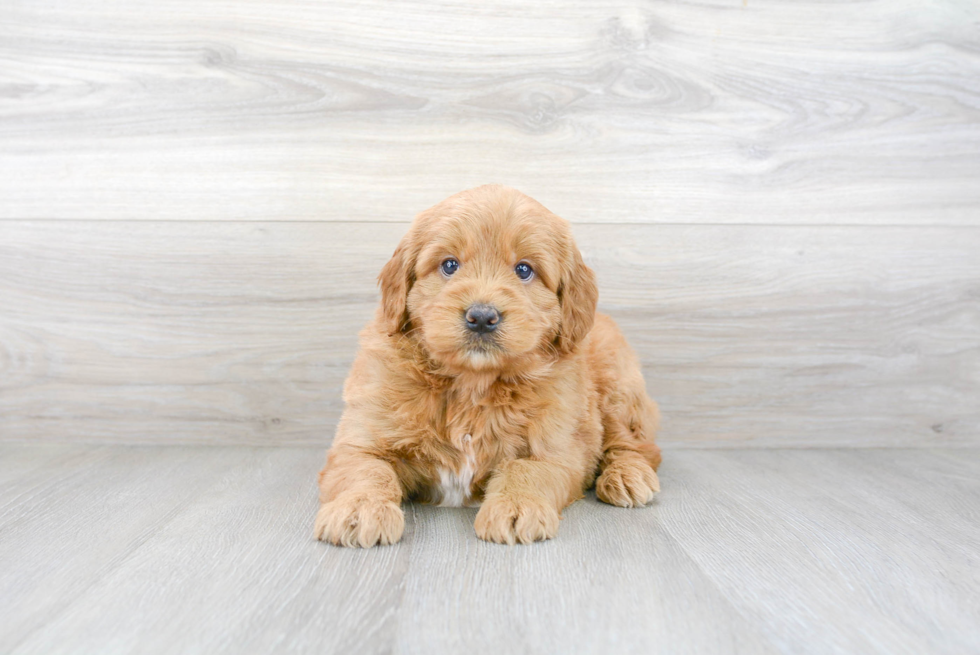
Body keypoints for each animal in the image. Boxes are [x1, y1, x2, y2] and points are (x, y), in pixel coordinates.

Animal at [318, 186, 664, 548]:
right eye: (449, 265)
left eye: (524, 270)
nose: (482, 316)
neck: (472, 384)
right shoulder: (361, 439)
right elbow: (367, 470)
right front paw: (359, 509)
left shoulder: (555, 450)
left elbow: (525, 470)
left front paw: (515, 507)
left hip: (617, 386)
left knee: (635, 444)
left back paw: (627, 475)